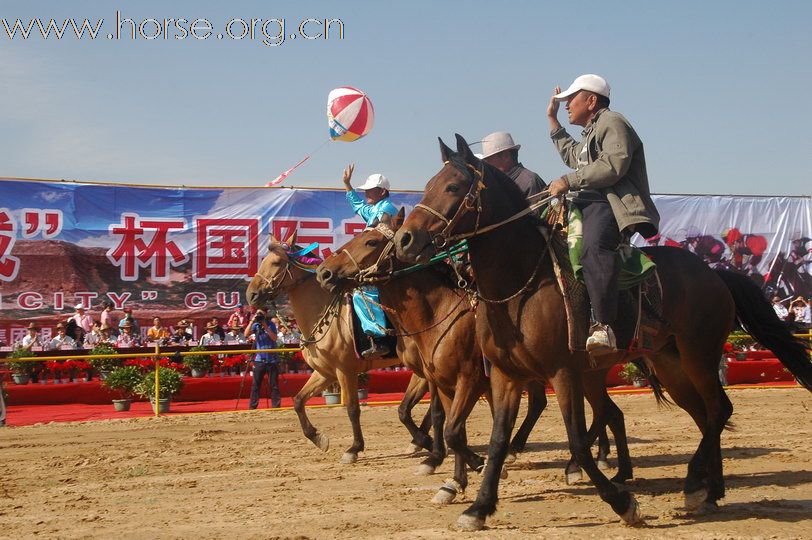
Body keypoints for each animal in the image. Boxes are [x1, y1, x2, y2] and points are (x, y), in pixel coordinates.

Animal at [246, 234, 440, 466]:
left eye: (276, 262)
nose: (251, 295)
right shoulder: (325, 372)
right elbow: (298, 401)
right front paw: (318, 438)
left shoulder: (345, 371)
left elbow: (352, 409)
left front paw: (354, 448)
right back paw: (421, 440)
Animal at [316, 210, 636, 502]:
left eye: (370, 241)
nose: (324, 272)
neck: (440, 312)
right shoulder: (443, 380)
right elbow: (451, 424)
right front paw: (455, 476)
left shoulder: (469, 379)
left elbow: (451, 427)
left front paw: (473, 463)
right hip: (582, 374)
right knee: (607, 412)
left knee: (598, 412)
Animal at [394, 133, 812, 528]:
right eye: (429, 184)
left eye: (452, 186)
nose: (405, 240)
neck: (522, 287)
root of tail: (714, 274)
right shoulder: (504, 375)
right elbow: (495, 441)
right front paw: (479, 507)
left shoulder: (561, 372)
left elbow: (577, 443)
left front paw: (622, 503)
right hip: (669, 365)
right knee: (706, 414)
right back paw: (711, 490)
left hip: (700, 355)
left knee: (717, 410)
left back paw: (695, 483)